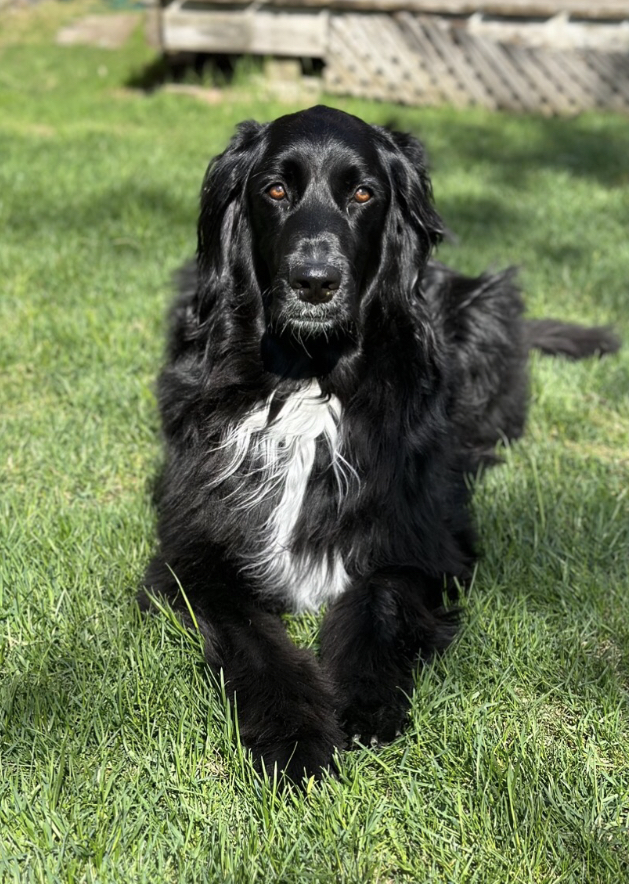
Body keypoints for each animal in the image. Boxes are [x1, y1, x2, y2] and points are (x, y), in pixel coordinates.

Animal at [142, 107, 620, 784]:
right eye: (275, 189)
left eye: (364, 193)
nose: (314, 281)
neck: (310, 378)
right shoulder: (192, 557)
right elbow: (253, 637)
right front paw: (294, 734)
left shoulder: (418, 540)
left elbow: (380, 601)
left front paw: (363, 703)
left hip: (488, 308)